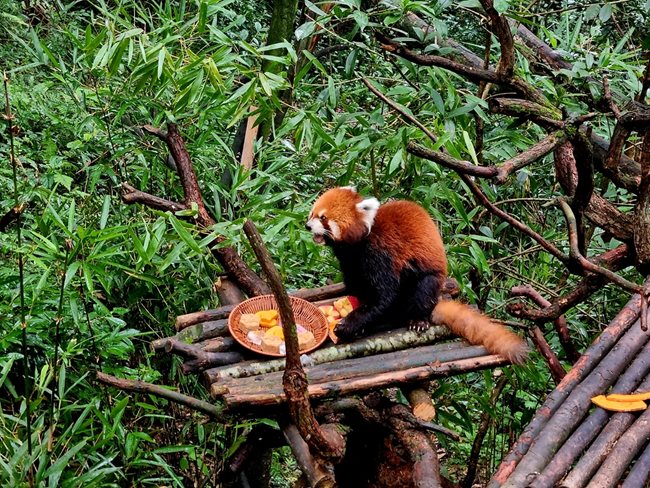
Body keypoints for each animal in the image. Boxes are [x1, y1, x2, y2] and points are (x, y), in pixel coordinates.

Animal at [306, 186, 528, 362]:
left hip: (426, 283)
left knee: (423, 287)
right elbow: (357, 287)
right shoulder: (350, 262)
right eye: (312, 213)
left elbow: (383, 296)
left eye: (323, 218)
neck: (357, 242)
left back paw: (418, 319)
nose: (307, 226)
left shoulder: (379, 254)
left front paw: (349, 324)